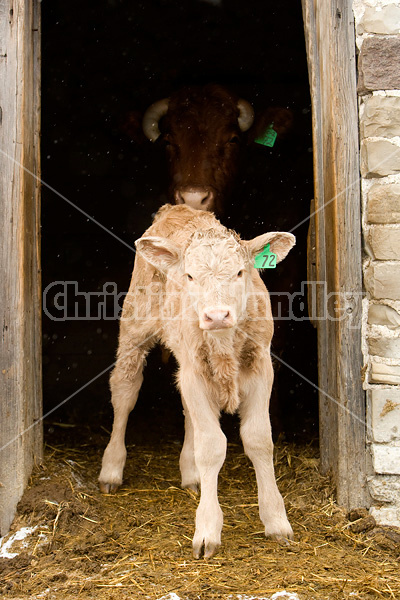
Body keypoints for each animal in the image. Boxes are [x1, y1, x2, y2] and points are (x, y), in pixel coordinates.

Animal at [98, 203, 296, 556]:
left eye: (240, 273)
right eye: (190, 276)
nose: (216, 316)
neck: (224, 344)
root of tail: (175, 208)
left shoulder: (261, 367)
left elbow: (259, 439)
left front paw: (276, 520)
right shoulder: (193, 371)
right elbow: (212, 446)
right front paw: (207, 529)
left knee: (187, 410)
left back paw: (192, 475)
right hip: (135, 328)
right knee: (124, 392)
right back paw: (112, 468)